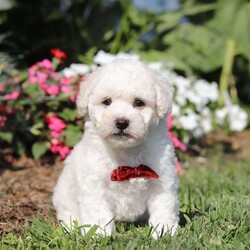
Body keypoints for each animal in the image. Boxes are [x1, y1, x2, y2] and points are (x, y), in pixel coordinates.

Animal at [51, 59, 179, 238]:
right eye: (107, 101)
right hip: (64, 197)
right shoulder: (95, 184)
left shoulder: (163, 179)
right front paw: (99, 234)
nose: (121, 122)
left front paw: (164, 231)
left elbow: (163, 207)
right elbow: (98, 212)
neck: (126, 152)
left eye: (139, 102)